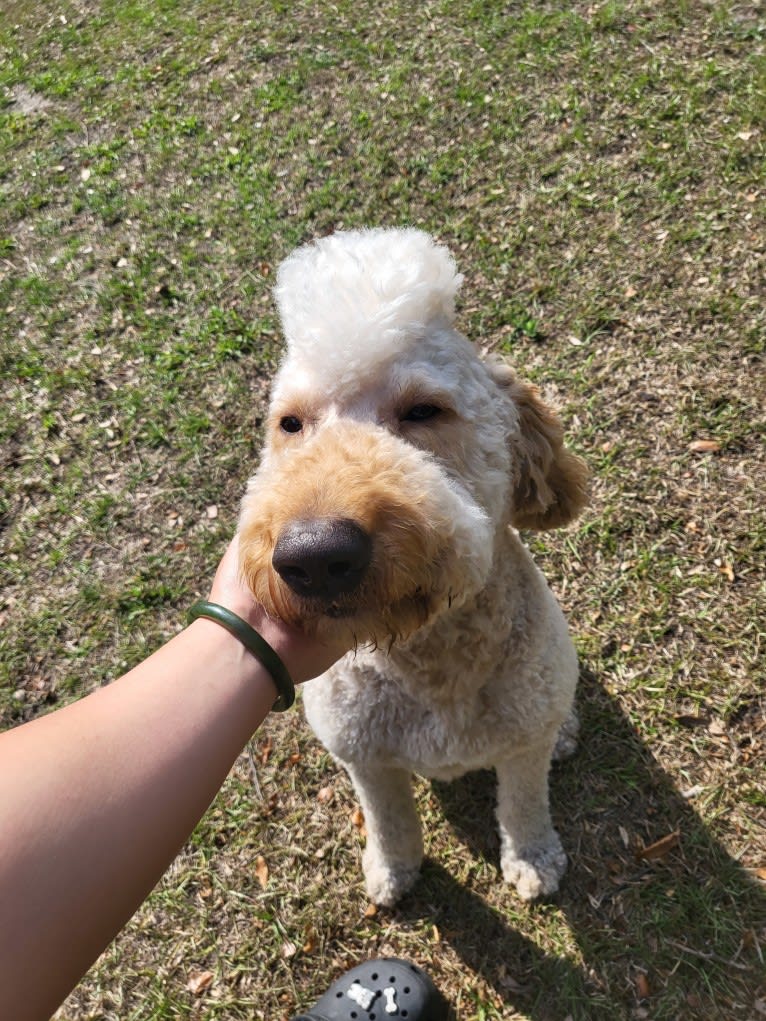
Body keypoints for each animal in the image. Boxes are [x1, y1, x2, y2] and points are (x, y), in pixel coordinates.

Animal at [240, 227, 588, 906]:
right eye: (291, 425)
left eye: (425, 411)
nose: (314, 555)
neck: (431, 658)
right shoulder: (364, 758)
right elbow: (389, 818)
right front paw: (392, 870)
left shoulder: (522, 745)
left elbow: (525, 804)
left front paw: (533, 859)